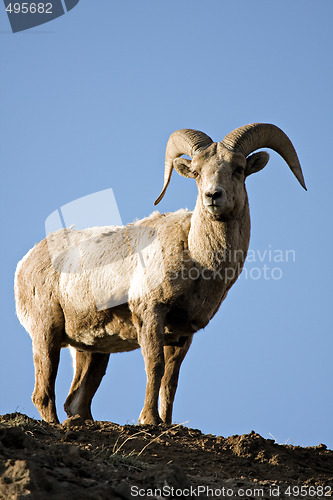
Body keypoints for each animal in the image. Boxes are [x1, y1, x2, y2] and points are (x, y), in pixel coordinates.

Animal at [14, 123, 306, 424]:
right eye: (197, 172)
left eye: (238, 168)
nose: (213, 196)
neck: (198, 259)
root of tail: (25, 262)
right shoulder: (151, 314)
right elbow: (154, 367)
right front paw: (150, 420)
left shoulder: (182, 334)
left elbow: (170, 380)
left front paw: (165, 422)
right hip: (46, 333)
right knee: (43, 395)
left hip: (91, 350)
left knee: (76, 402)